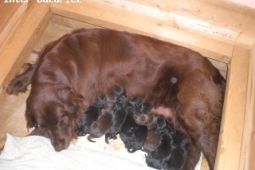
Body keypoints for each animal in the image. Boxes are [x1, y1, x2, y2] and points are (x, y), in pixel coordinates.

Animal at [6, 27, 225, 169]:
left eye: (62, 120)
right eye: (43, 123)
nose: (59, 147)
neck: (61, 63)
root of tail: (213, 69)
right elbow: (35, 66)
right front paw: (19, 81)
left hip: (193, 113)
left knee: (211, 150)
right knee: (193, 154)